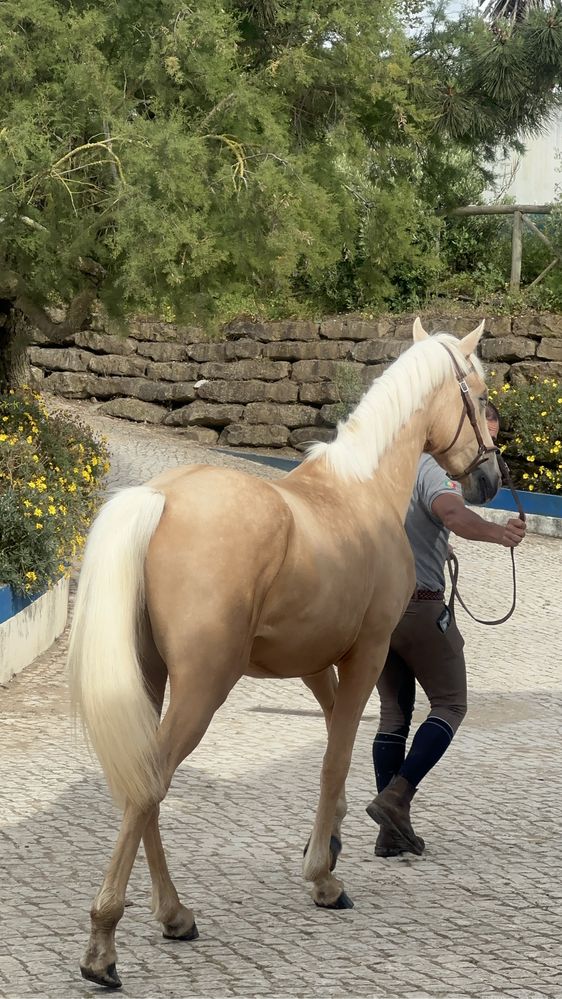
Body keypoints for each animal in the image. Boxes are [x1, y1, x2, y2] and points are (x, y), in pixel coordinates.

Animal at [68, 318, 496, 984]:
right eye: (479, 395)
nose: (489, 480)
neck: (363, 492)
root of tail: (159, 498)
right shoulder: (368, 655)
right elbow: (336, 758)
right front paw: (323, 877)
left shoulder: (318, 665)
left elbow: (335, 742)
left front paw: (333, 846)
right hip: (202, 690)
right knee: (147, 788)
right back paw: (104, 945)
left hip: (151, 681)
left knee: (146, 784)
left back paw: (175, 915)